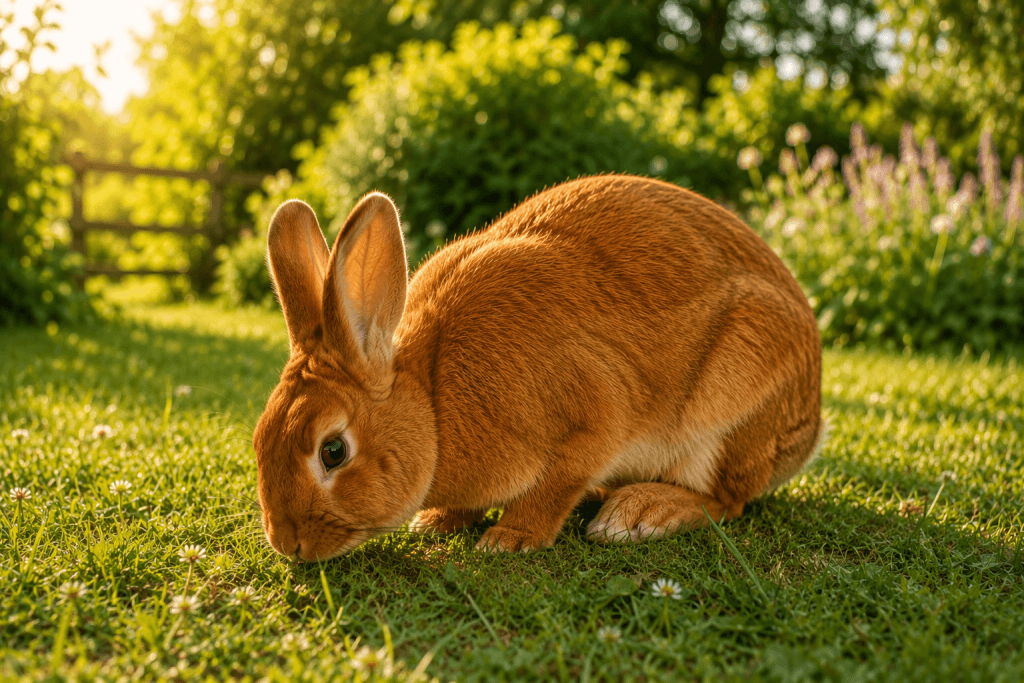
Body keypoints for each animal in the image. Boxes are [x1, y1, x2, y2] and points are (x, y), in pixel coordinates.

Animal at [253, 174, 823, 561]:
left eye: (333, 451)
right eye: (260, 439)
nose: (288, 544)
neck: (432, 398)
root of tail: (810, 425)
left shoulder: (594, 415)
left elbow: (556, 483)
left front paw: (509, 538)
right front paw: (437, 522)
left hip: (731, 405)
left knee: (726, 500)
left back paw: (640, 512)